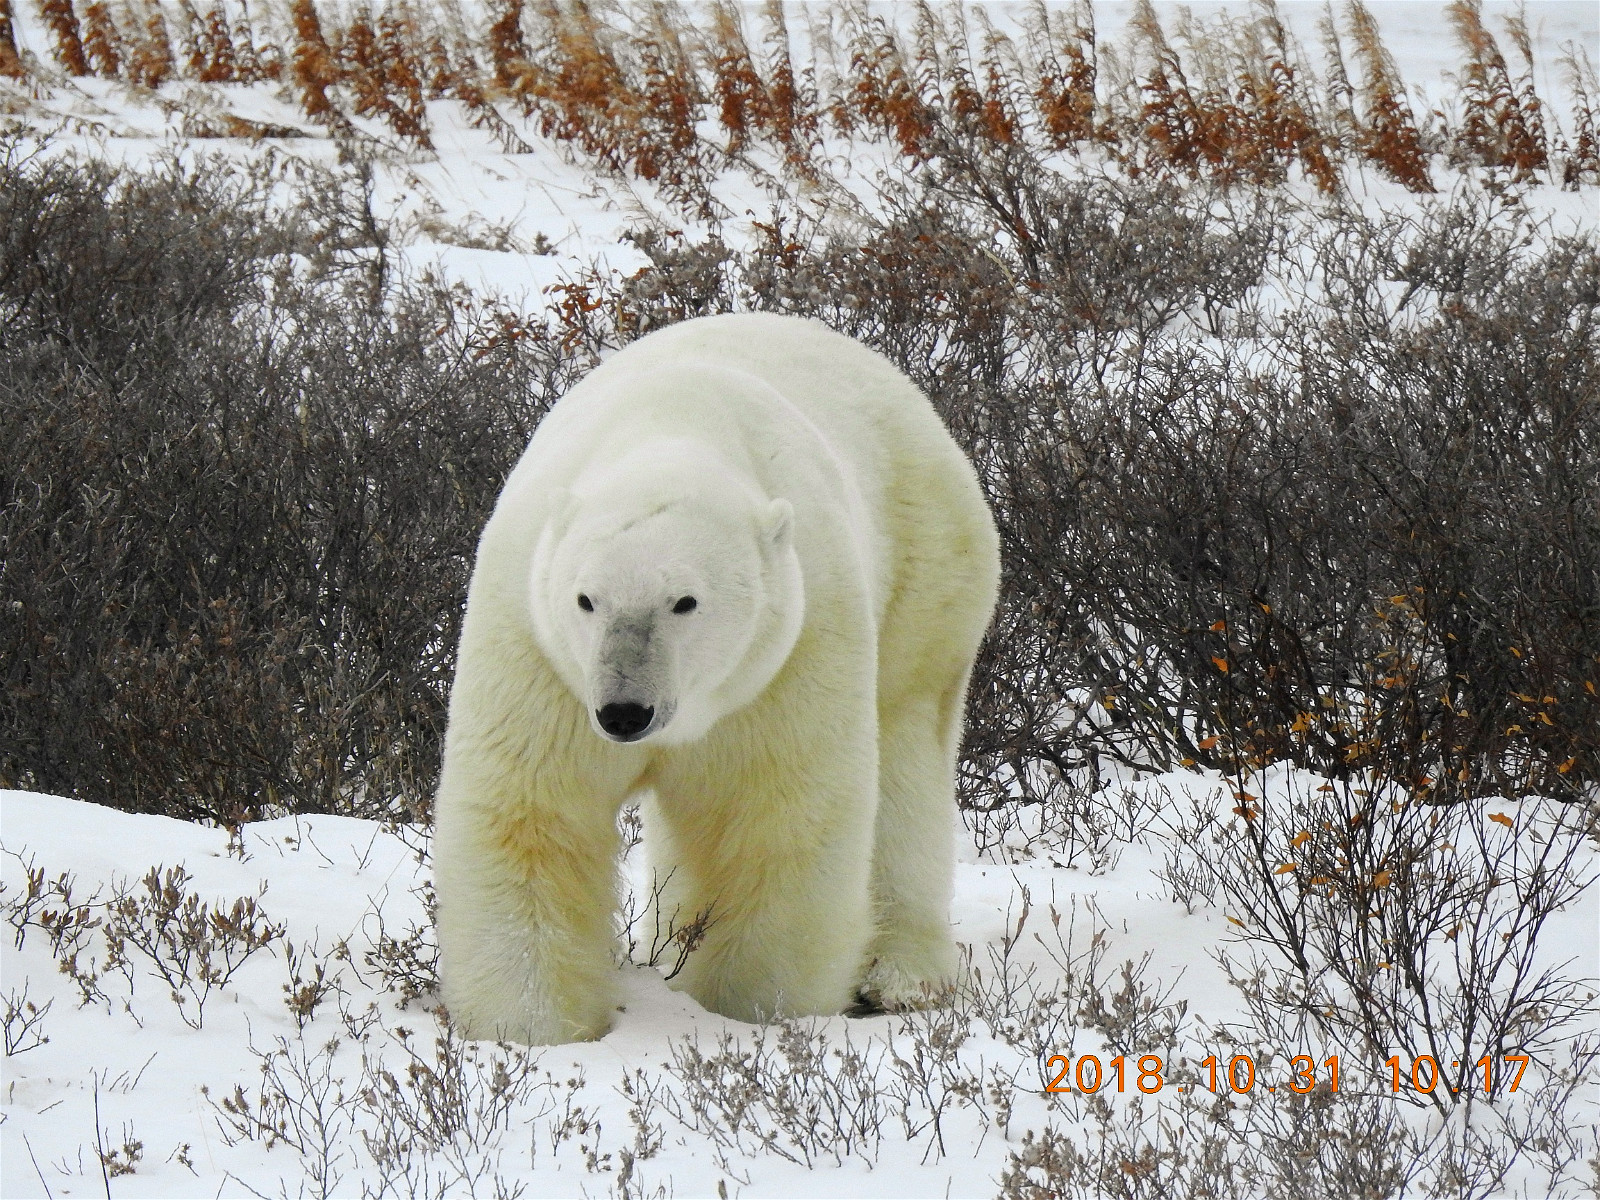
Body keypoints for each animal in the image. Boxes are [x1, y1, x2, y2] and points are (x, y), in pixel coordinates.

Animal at [432, 315, 992, 1049]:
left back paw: (899, 976)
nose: (624, 712)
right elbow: (532, 811)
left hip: (925, 567)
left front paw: (754, 1012)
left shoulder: (791, 652)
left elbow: (774, 820)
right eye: (586, 600)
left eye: (685, 602)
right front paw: (531, 1029)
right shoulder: (539, 650)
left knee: (907, 755)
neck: (671, 426)